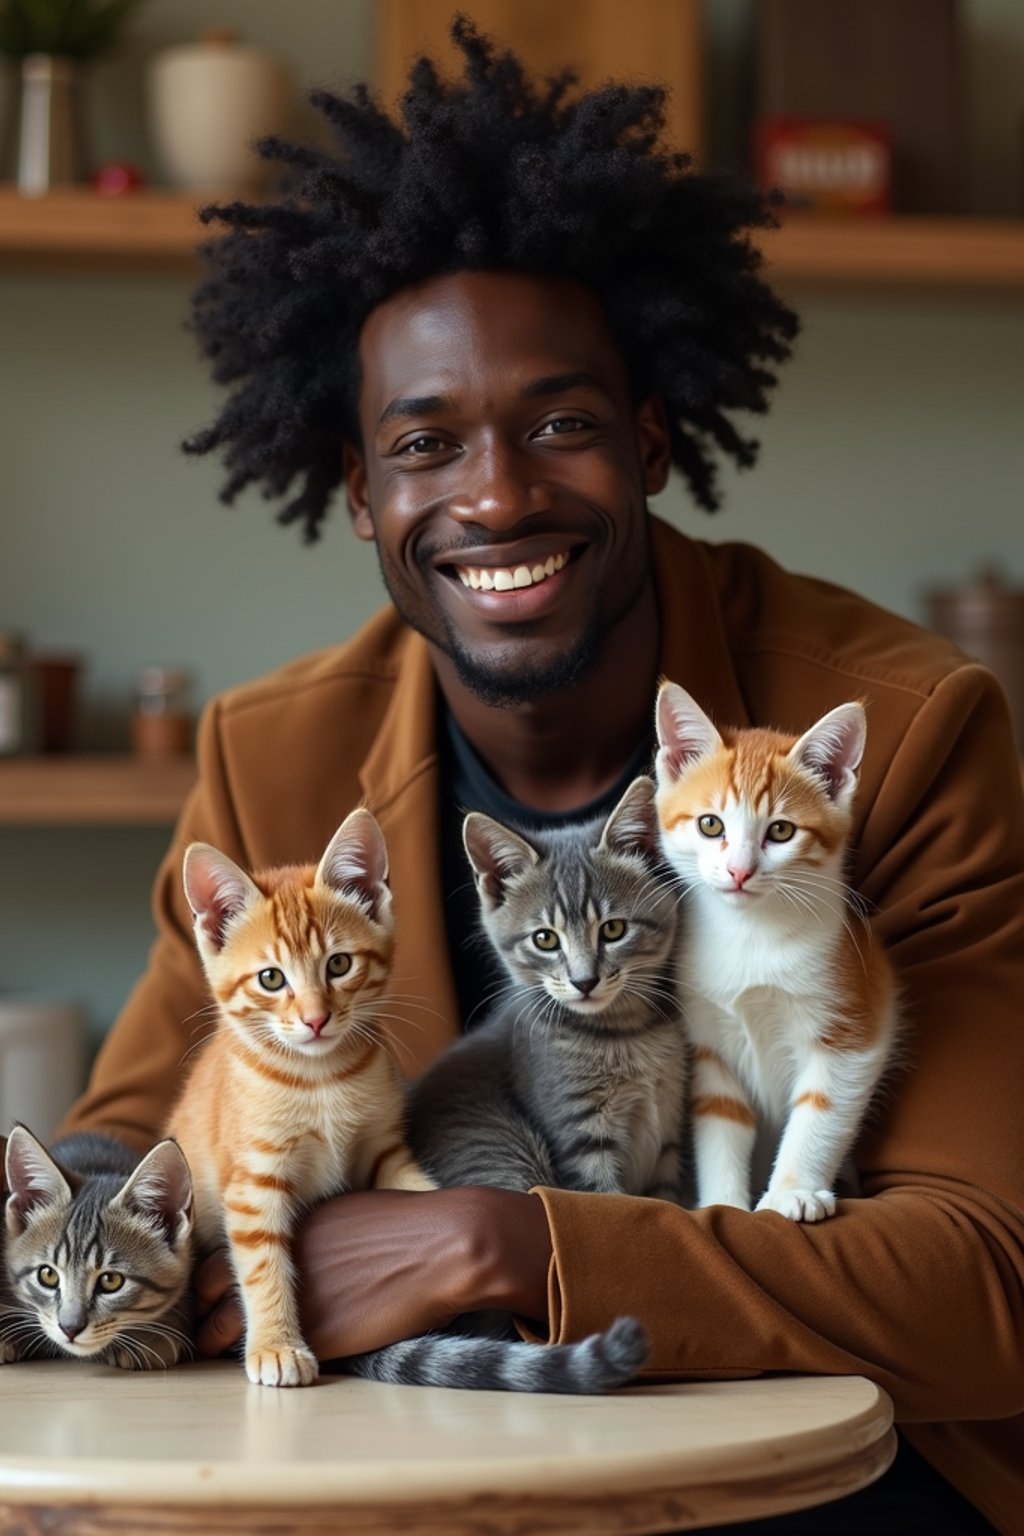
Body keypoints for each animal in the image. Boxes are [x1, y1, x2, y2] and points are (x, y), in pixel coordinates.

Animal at [168, 811, 432, 1388]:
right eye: (271, 978)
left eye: (338, 965)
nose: (315, 1019)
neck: (320, 1079)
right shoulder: (253, 1182)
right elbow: (265, 1268)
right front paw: (276, 1346)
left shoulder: (380, 1148)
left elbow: (416, 1189)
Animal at [657, 685, 896, 1222]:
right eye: (710, 825)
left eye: (782, 831)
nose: (740, 871)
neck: (752, 934)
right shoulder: (710, 1041)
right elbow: (721, 1117)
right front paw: (722, 1203)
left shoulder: (853, 1025)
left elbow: (821, 1110)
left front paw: (793, 1191)